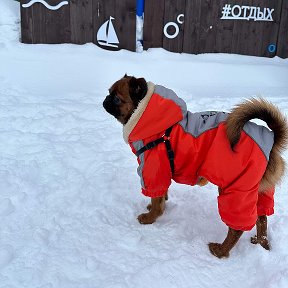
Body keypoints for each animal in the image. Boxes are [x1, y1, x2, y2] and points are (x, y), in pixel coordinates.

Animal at [103, 75, 288, 258]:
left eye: (117, 98)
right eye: (109, 92)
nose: (106, 99)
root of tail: (271, 141)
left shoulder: (153, 171)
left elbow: (157, 201)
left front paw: (150, 217)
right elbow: (161, 195)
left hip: (237, 190)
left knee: (237, 228)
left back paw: (221, 251)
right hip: (259, 191)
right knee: (262, 218)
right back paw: (261, 243)